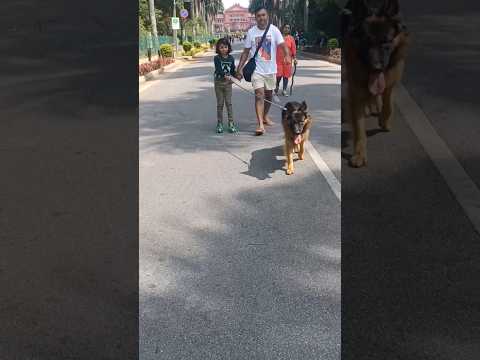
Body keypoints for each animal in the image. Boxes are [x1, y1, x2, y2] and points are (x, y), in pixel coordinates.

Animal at [342, 0, 408, 167]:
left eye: (386, 42)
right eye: (367, 42)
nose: (376, 67)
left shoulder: (392, 76)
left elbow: (388, 102)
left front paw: (384, 120)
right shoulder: (355, 89)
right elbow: (359, 128)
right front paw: (359, 154)